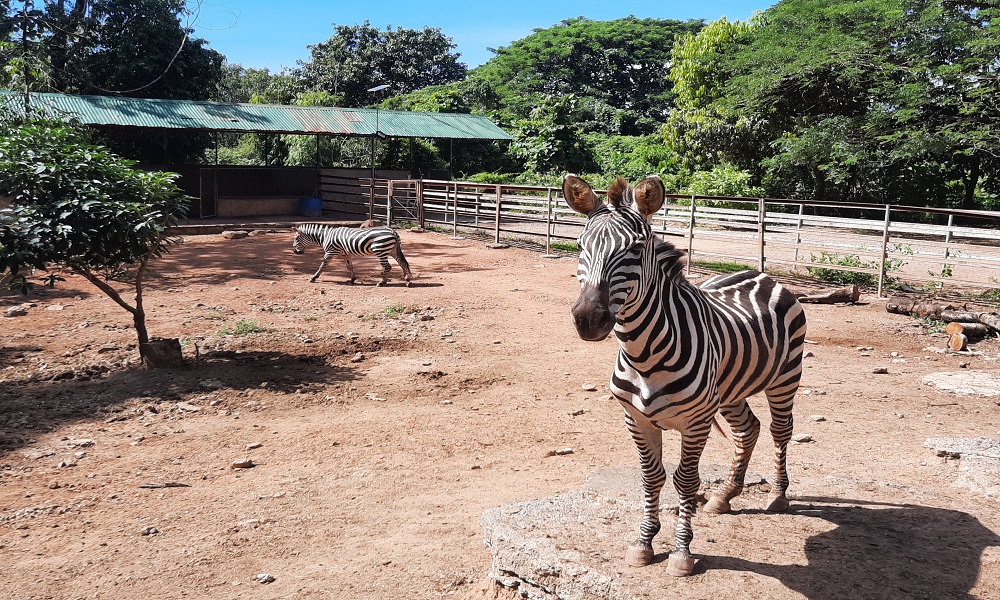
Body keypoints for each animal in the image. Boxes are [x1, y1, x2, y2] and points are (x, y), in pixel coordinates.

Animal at [564, 172, 804, 576]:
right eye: (580, 245)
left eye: (636, 248)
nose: (587, 320)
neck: (644, 355)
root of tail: (761, 274)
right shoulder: (635, 418)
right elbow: (651, 477)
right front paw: (644, 542)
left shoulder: (696, 422)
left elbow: (685, 480)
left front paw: (681, 552)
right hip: (731, 390)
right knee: (748, 429)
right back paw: (725, 495)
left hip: (786, 377)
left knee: (779, 431)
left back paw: (778, 494)